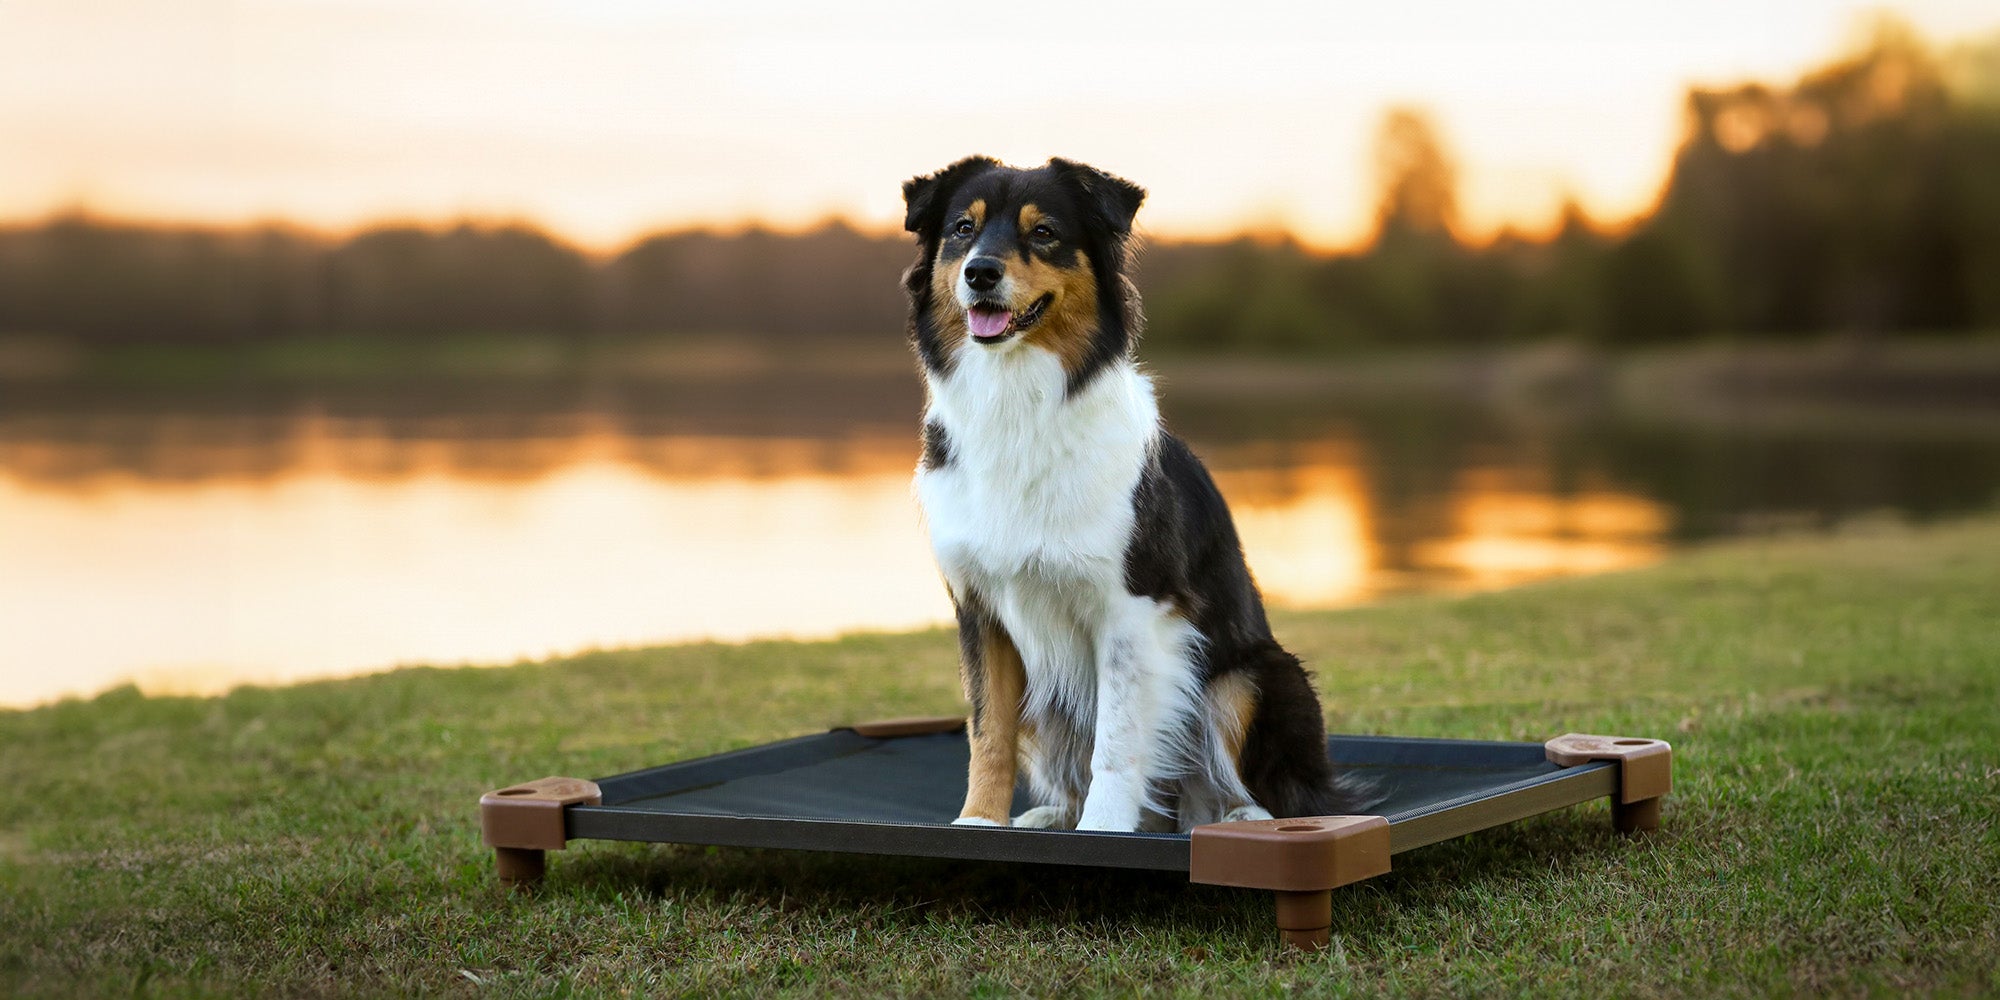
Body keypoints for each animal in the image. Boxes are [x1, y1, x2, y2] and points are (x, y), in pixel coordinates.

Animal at [908, 154, 1360, 828]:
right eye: (963, 228)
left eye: (1044, 233)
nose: (979, 272)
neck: (1017, 401)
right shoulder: (980, 608)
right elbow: (987, 732)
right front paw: (979, 822)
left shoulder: (1132, 608)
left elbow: (1117, 742)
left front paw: (1103, 830)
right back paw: (1050, 816)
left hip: (1252, 676)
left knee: (1254, 791)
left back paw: (1239, 820)